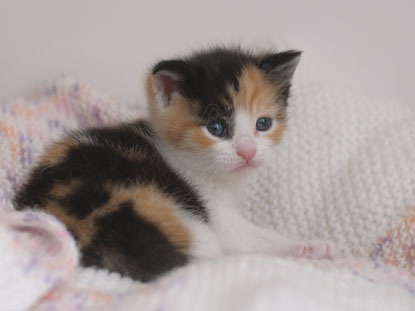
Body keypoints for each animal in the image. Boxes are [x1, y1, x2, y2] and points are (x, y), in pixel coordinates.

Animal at [14, 46, 338, 282]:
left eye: (263, 123)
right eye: (216, 128)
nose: (247, 152)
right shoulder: (216, 218)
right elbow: (254, 237)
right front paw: (309, 246)